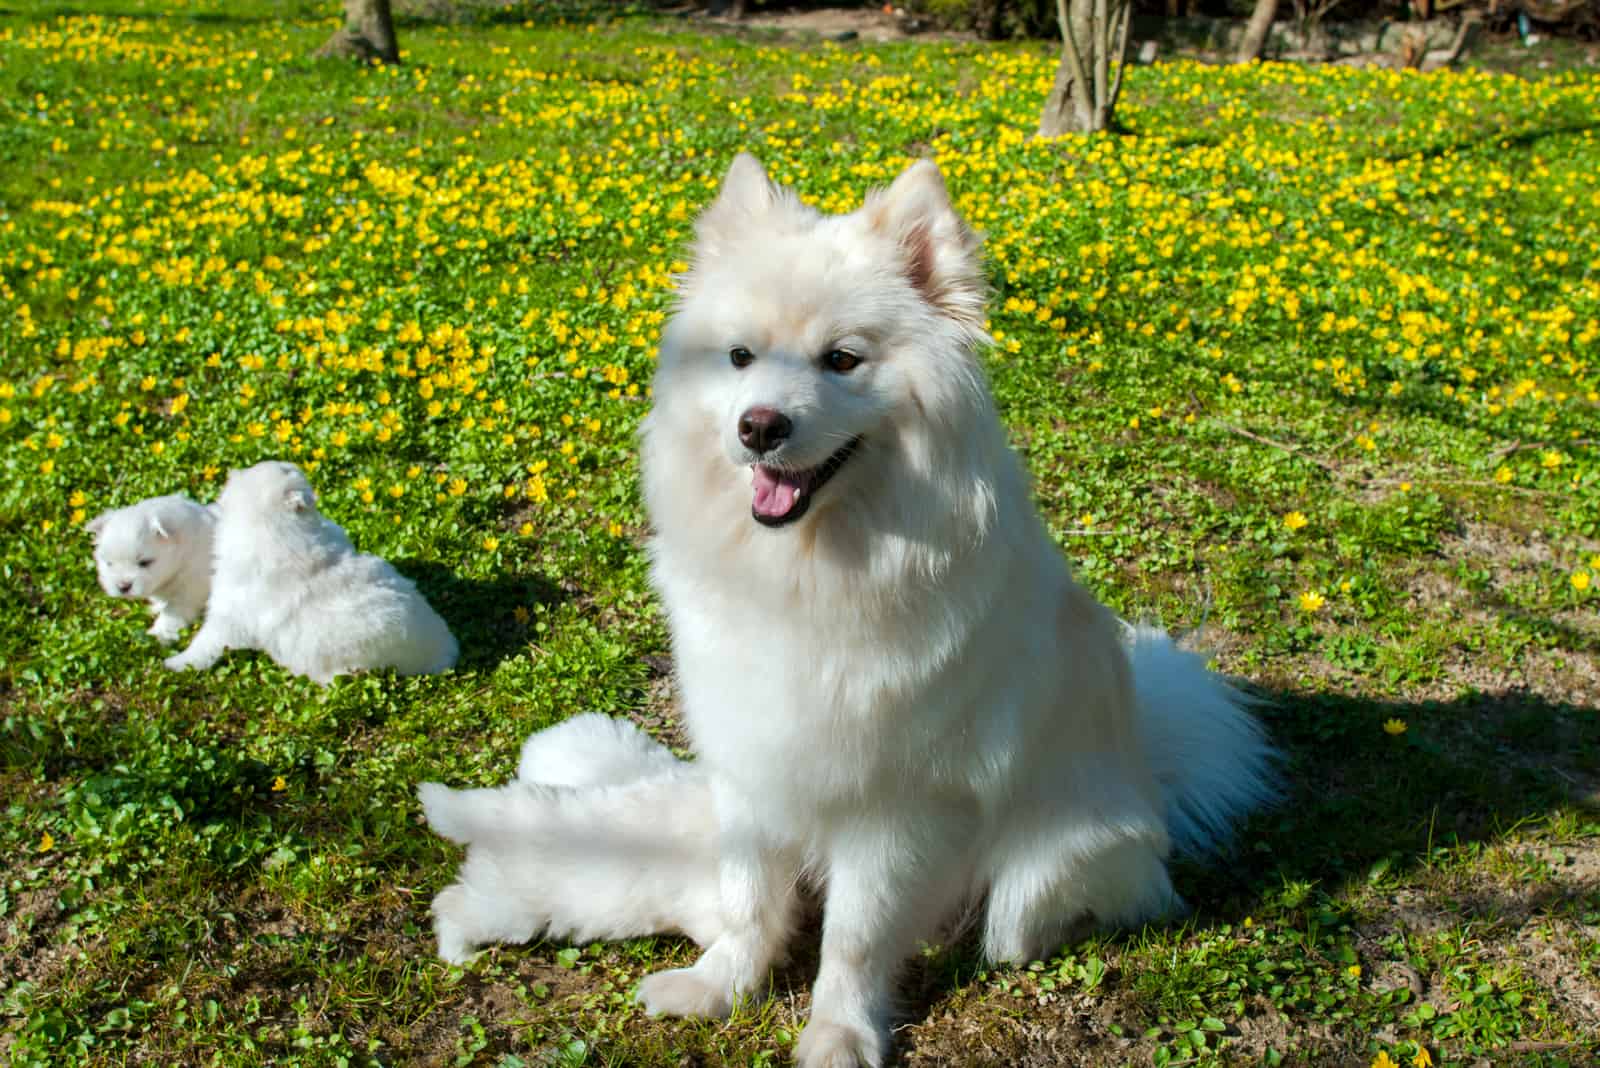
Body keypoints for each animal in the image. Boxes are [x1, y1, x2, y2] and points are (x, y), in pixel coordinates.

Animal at [86, 495, 219, 642]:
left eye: (144, 562)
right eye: (109, 563)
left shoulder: (191, 589)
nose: (123, 587)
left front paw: (159, 634)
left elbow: (172, 613)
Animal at [422, 151, 1273, 1068]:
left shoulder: (895, 806)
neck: (813, 572)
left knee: (1040, 919)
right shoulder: (753, 766)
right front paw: (722, 986)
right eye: (739, 357)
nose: (760, 426)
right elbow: (749, 895)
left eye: (841, 360)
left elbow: (857, 938)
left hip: (1045, 867)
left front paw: (838, 1033)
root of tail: (1148, 764)